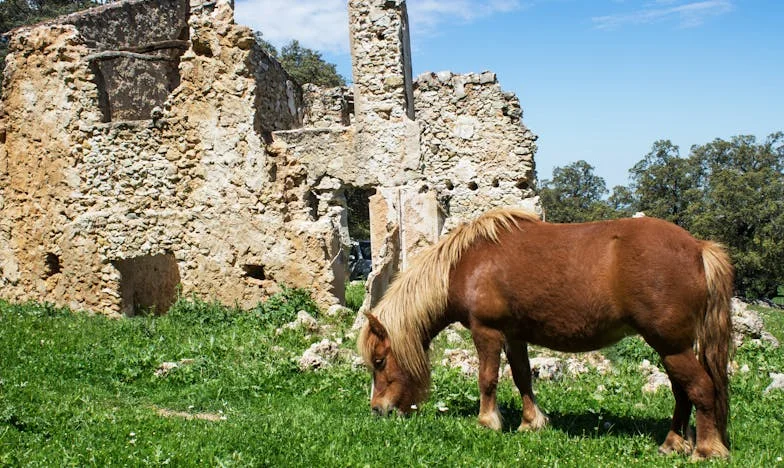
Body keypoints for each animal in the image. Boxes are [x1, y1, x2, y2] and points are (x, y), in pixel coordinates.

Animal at [362, 207, 736, 458]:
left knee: (700, 389)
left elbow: (487, 378)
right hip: (672, 348)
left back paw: (705, 449)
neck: (466, 265)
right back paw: (673, 443)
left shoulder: (487, 332)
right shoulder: (514, 335)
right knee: (682, 392)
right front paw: (531, 422)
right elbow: (522, 377)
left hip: (671, 346)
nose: (377, 410)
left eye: (379, 362)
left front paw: (487, 421)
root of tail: (698, 248)